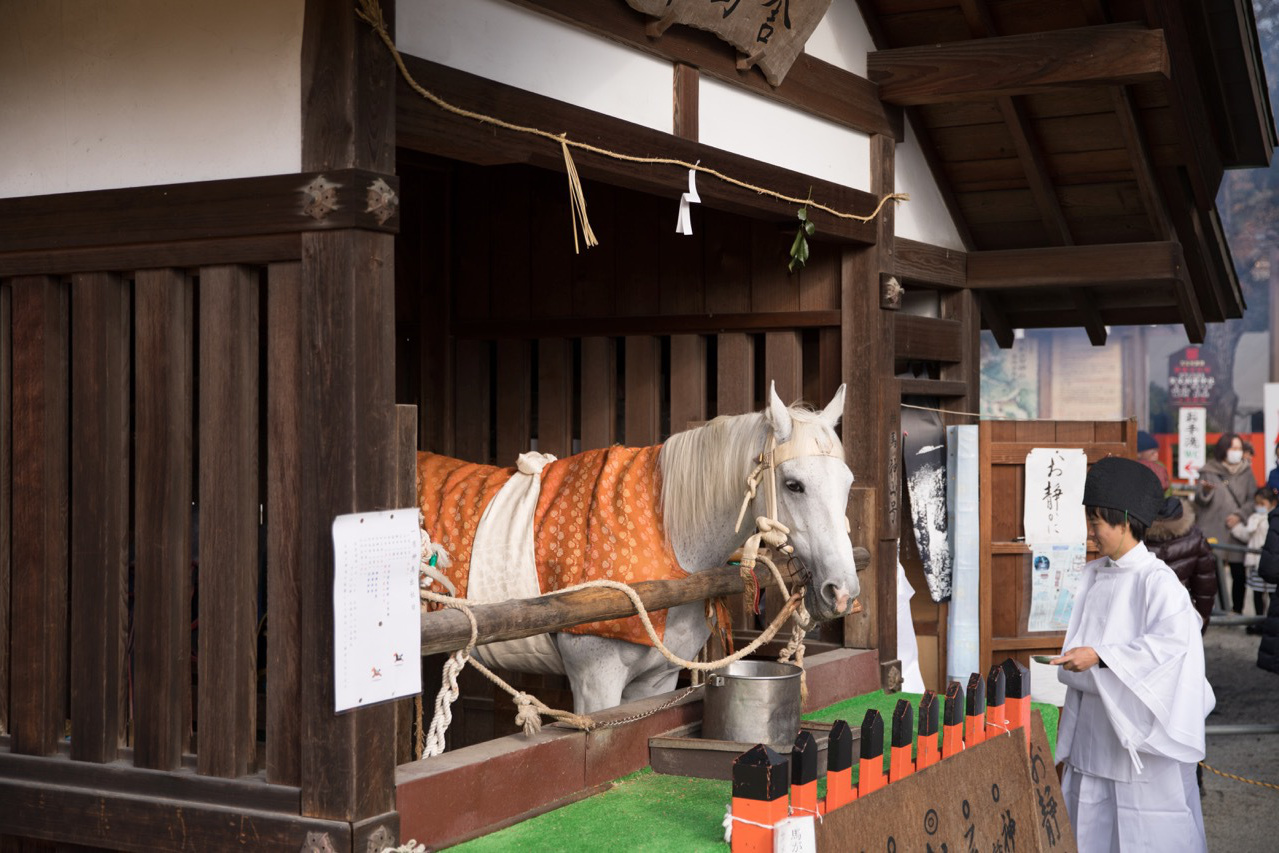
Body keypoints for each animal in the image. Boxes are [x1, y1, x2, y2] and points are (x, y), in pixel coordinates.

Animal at [419, 386, 859, 716]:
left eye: (848, 483)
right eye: (793, 484)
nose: (843, 592)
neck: (668, 540)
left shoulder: (656, 680)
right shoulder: (595, 682)